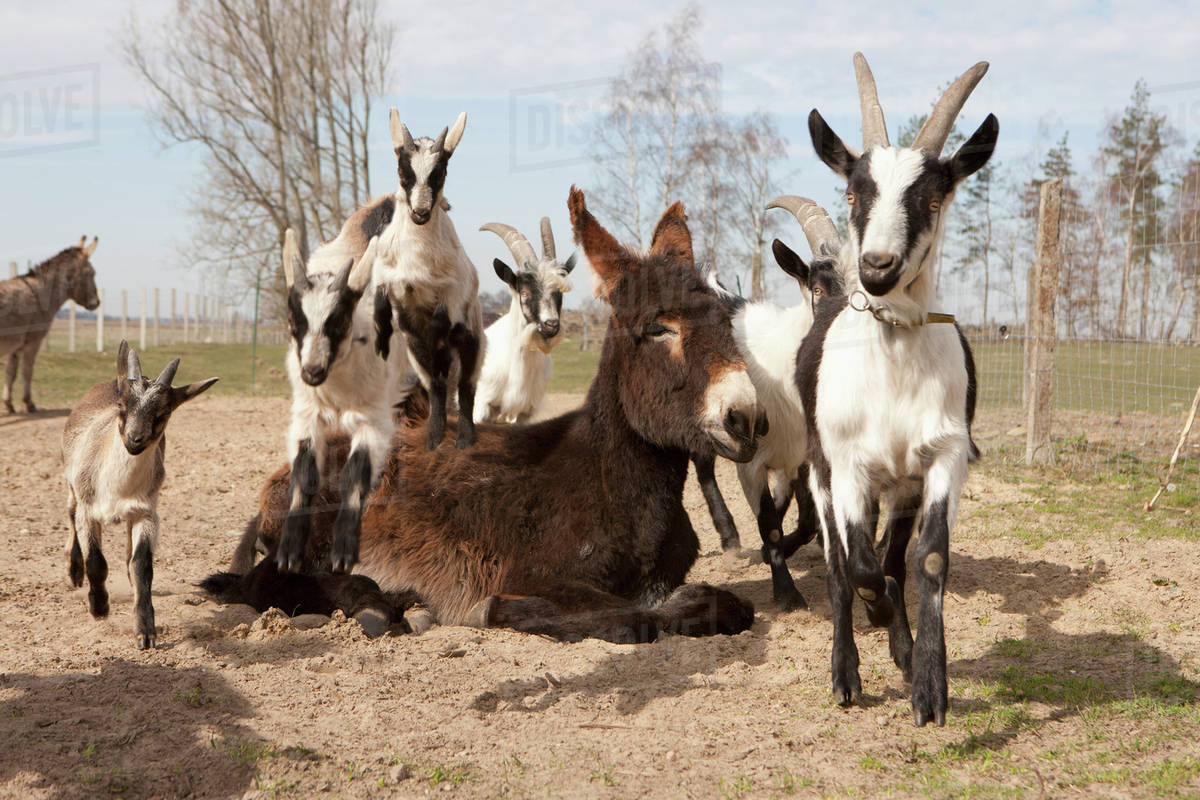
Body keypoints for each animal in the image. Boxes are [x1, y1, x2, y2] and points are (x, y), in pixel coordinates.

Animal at [2, 236, 101, 413]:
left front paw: (8, 404)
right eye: (91, 273)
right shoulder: (33, 342)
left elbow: (10, 373)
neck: (40, 292)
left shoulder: (16, 345)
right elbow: (27, 371)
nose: (96, 303)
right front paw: (28, 403)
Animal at [62, 341, 217, 648]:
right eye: (122, 405)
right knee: (70, 512)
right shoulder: (89, 508)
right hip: (71, 478)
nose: (135, 440)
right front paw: (99, 608)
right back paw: (74, 571)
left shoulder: (146, 512)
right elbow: (96, 561)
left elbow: (142, 565)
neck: (115, 487)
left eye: (164, 412)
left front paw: (145, 631)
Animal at [275, 199, 417, 575]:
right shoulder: (306, 414)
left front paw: (342, 553)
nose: (312, 370)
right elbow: (304, 474)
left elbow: (355, 474)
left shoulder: (374, 419)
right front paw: (289, 552)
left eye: (339, 320)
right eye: (293, 320)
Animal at [373, 110, 485, 450]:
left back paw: (465, 439)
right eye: (402, 168)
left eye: (441, 171)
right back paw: (434, 437)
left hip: (474, 341)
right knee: (436, 385)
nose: (420, 213)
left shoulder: (457, 289)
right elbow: (382, 302)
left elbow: (440, 321)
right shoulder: (387, 279)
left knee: (465, 385)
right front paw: (381, 341)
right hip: (415, 354)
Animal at [799, 53, 997, 725]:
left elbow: (925, 559)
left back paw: (902, 649)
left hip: (902, 482)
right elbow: (855, 568)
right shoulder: (846, 465)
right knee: (841, 566)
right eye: (854, 191)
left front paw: (929, 683)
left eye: (932, 195)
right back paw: (846, 673)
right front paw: (877, 617)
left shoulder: (942, 457)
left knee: (891, 555)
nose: (877, 267)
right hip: (821, 472)